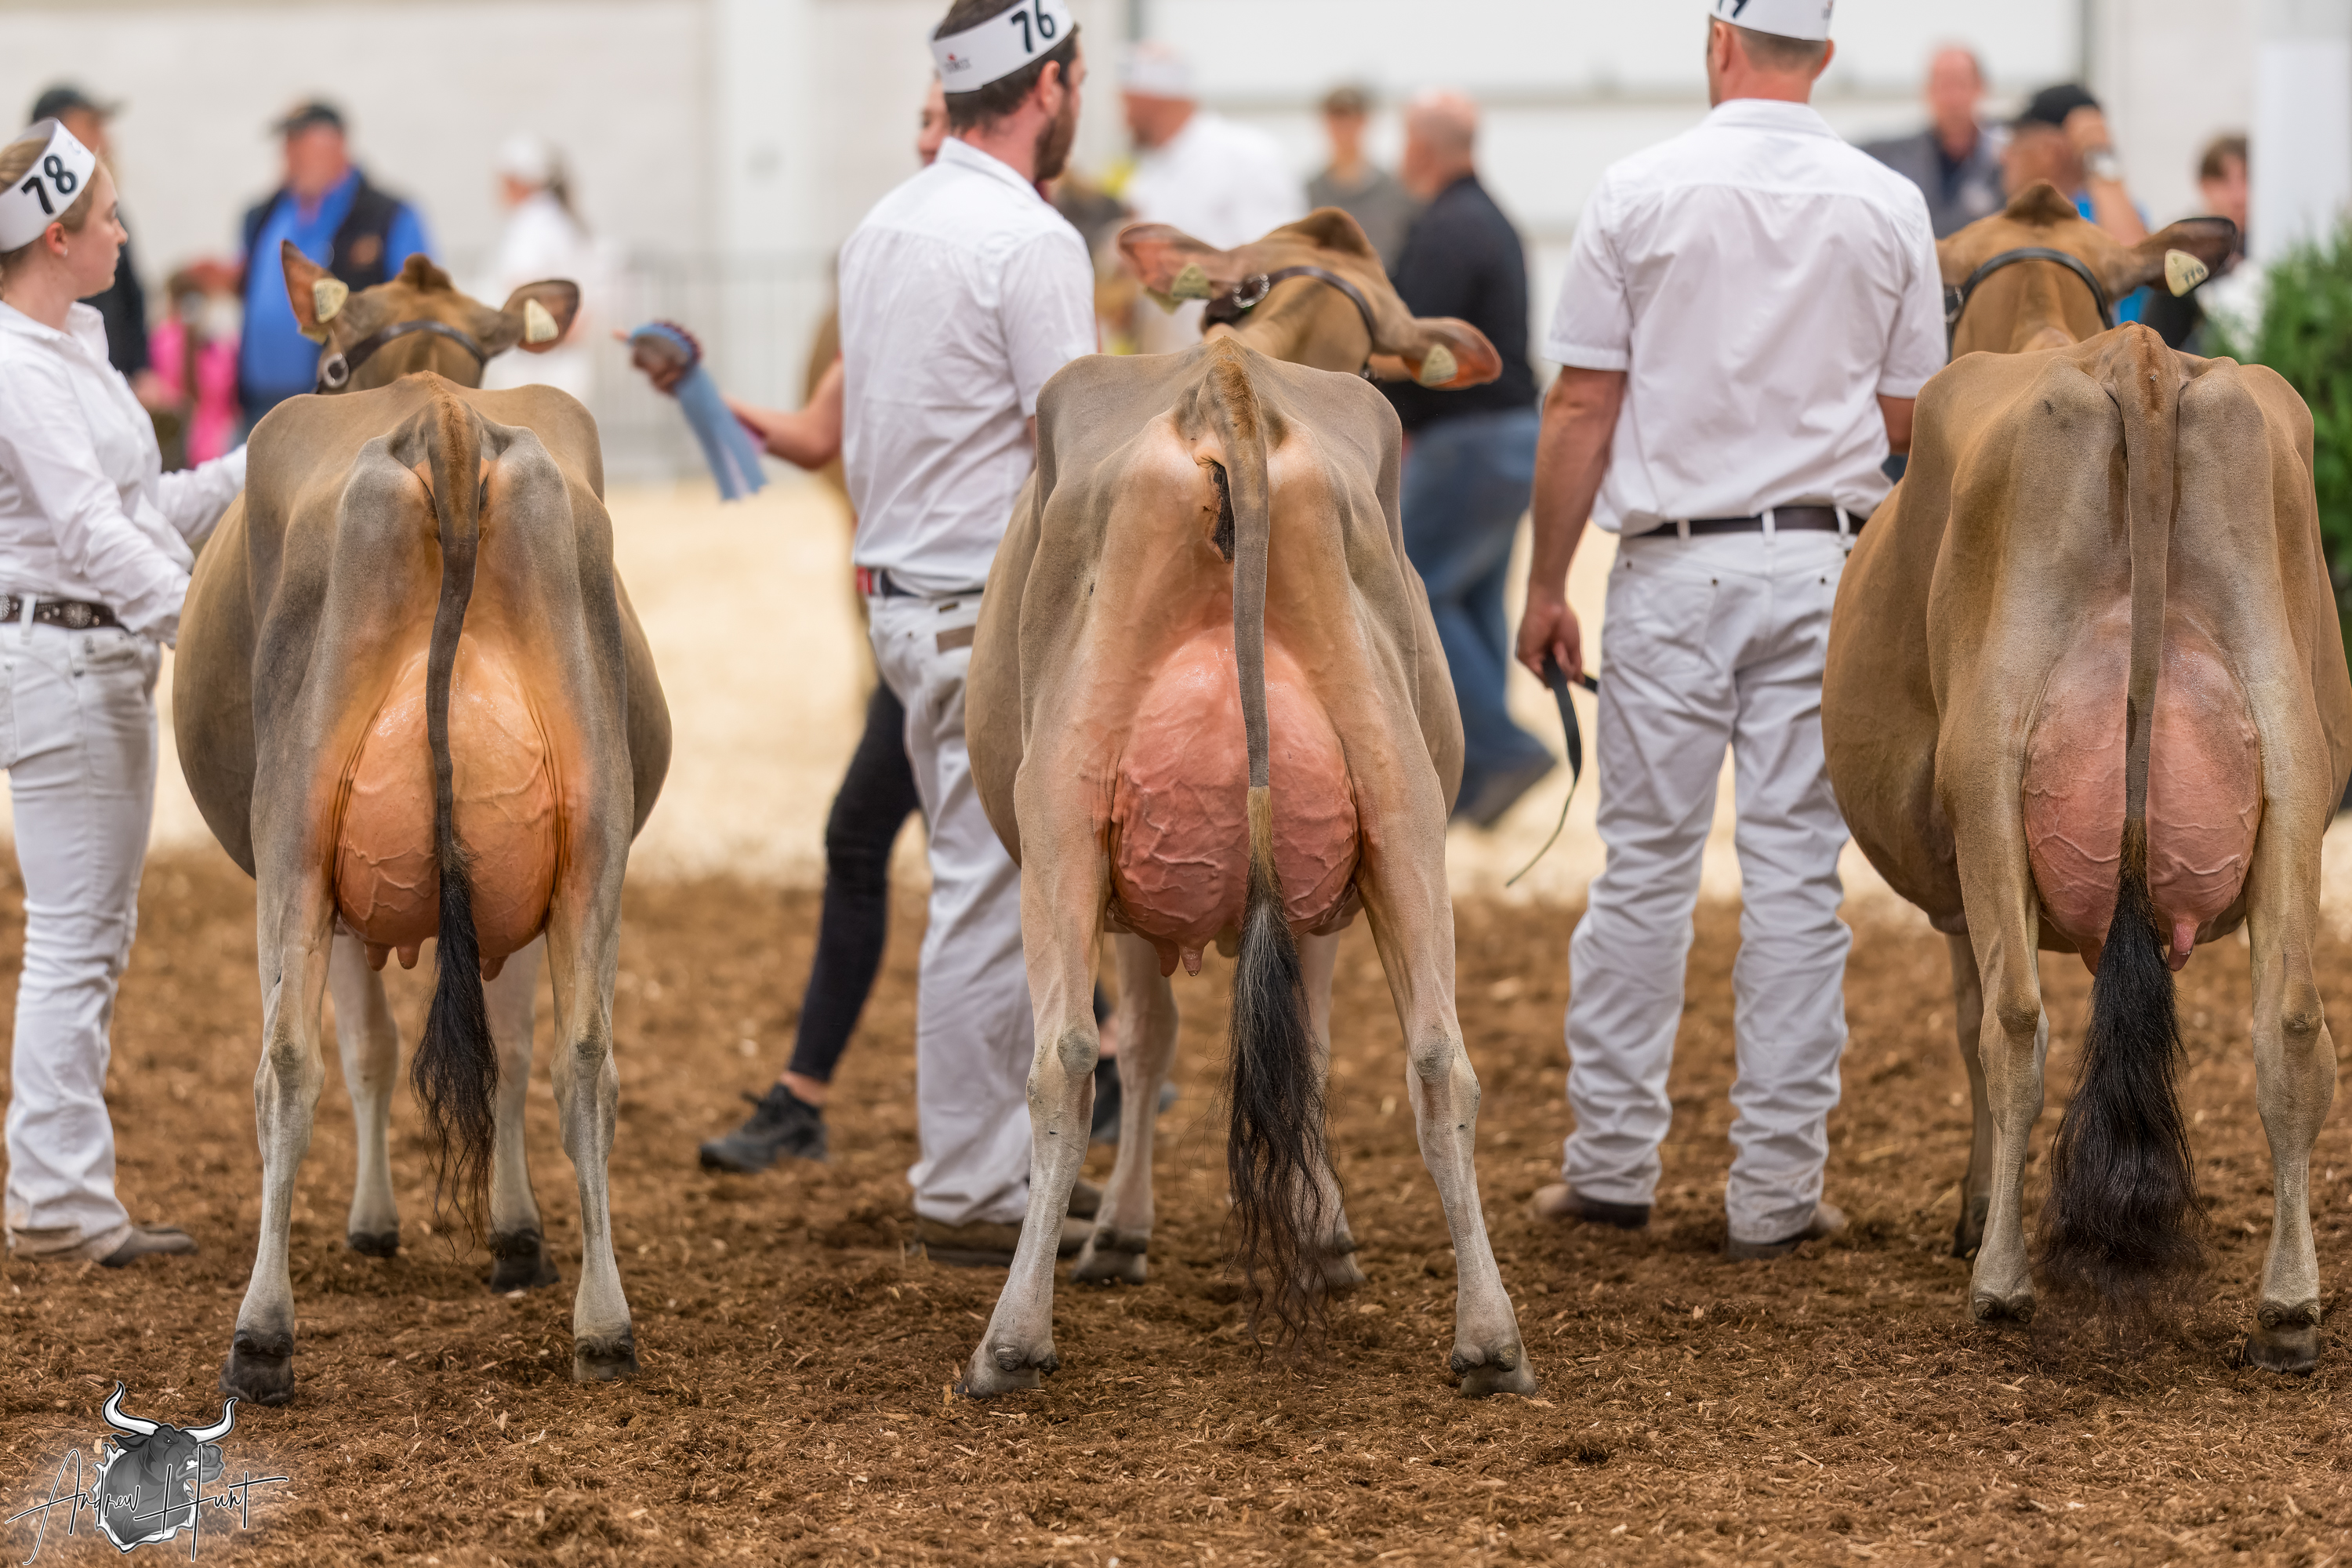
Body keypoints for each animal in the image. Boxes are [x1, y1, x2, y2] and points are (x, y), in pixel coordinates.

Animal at [177, 245, 671, 1404]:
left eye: (330, 356)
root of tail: (444, 423)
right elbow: (517, 1045)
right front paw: (517, 1237)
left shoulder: (336, 886)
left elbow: (364, 1046)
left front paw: (377, 1223)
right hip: (592, 837)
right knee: (587, 1058)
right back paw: (604, 1325)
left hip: (294, 838)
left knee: (287, 1063)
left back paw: (262, 1338)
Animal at [955, 209, 1538, 1399]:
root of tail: (1228, 392)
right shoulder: (1328, 880)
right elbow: (1307, 1043)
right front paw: (1326, 1238)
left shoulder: (1132, 896)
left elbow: (1150, 1038)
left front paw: (1124, 1233)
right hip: (1401, 807)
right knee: (1439, 1059)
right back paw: (1491, 1339)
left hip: (1065, 816)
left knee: (1066, 1059)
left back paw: (1012, 1337)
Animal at [1822, 184, 2349, 1368]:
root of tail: (2136, 360)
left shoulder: (1958, 863)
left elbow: (1971, 1024)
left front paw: (1977, 1211)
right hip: (2297, 768)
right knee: (2293, 1023)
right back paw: (2291, 1306)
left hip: (1988, 775)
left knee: (2016, 1023)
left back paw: (2002, 1280)